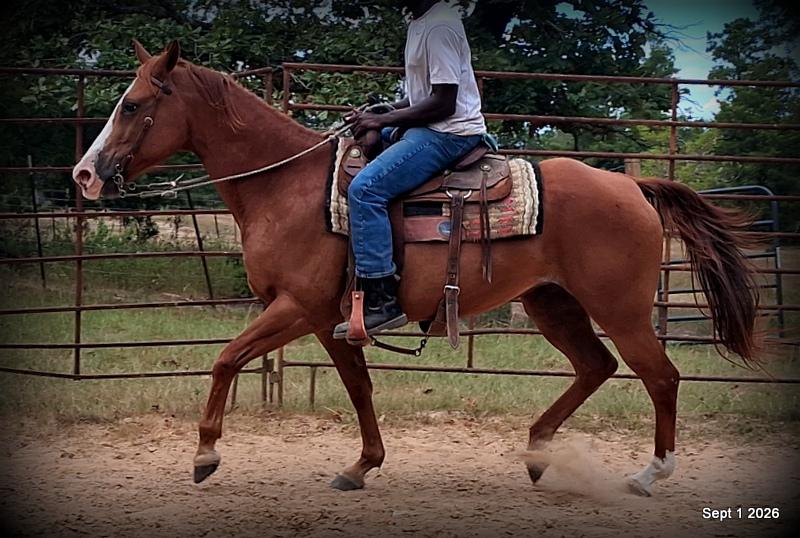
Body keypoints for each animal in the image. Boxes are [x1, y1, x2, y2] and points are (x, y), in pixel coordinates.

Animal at [72, 40, 759, 497]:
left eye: (133, 104)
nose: (84, 174)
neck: (286, 188)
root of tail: (633, 188)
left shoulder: (295, 307)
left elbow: (225, 359)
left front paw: (205, 455)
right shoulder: (327, 320)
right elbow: (359, 387)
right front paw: (361, 465)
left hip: (620, 308)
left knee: (660, 376)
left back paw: (649, 474)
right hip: (550, 302)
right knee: (596, 367)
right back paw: (538, 453)